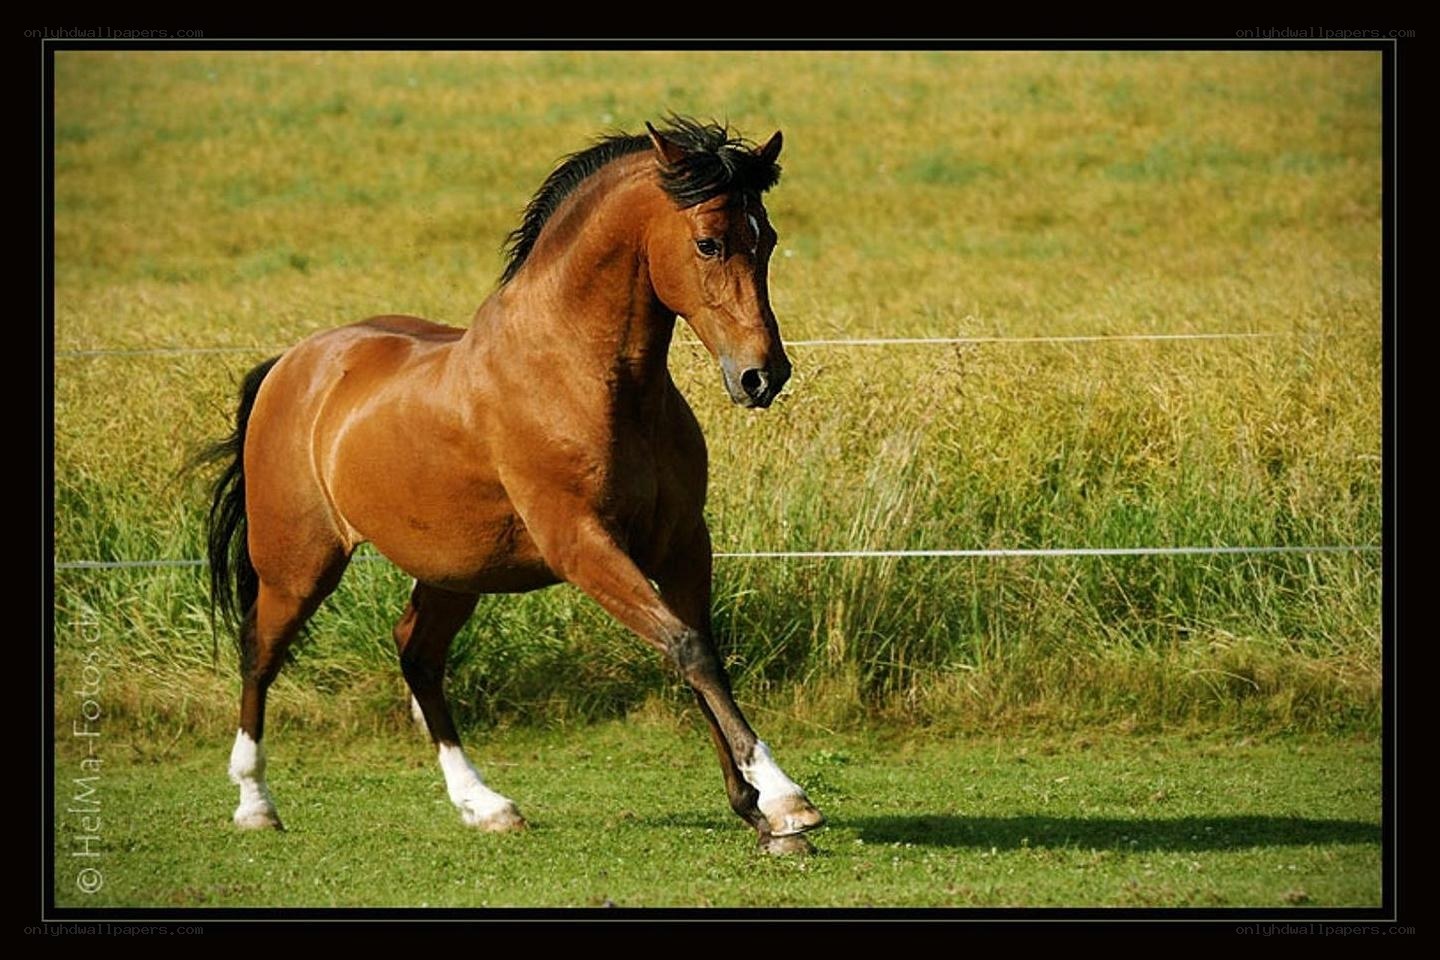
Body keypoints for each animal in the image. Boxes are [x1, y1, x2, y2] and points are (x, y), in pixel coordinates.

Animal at [200, 117, 824, 855]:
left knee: (417, 654)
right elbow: (687, 648)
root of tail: (290, 365)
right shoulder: (582, 545)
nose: (763, 375)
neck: (583, 375)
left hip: (452, 571)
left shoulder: (680, 543)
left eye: (769, 239)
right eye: (709, 241)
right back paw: (254, 804)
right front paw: (785, 801)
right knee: (260, 653)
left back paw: (486, 805)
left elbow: (702, 653)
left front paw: (758, 812)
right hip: (299, 565)